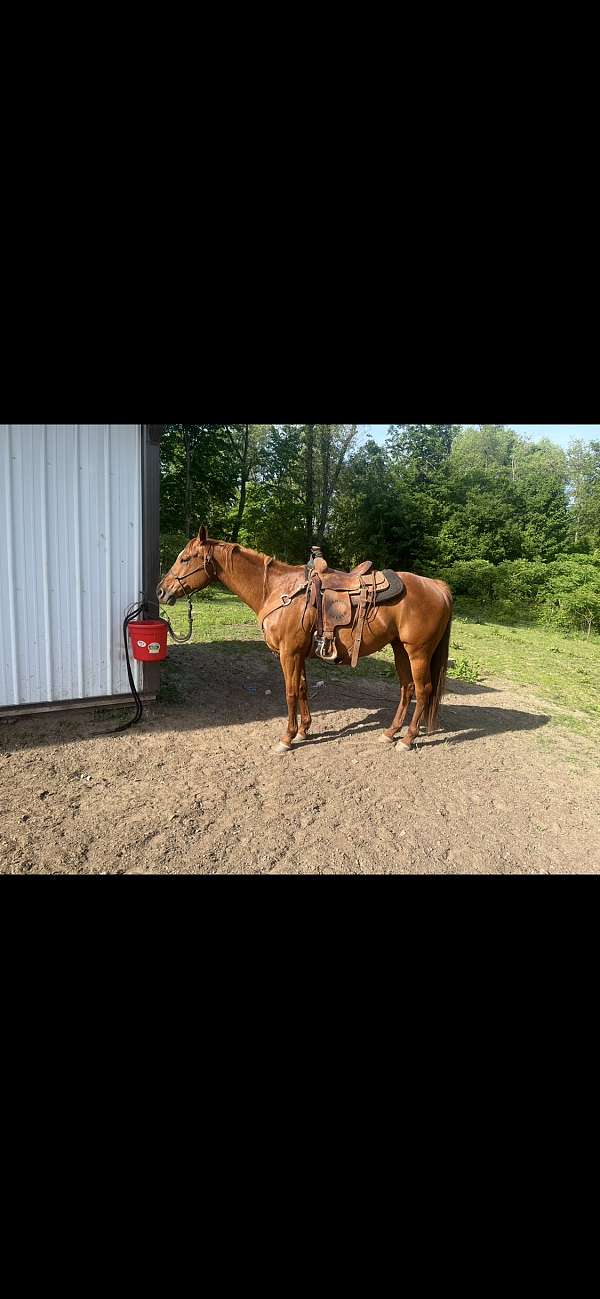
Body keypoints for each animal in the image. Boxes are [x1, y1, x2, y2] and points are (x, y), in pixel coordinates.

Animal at [157, 527, 453, 755]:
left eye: (185, 558)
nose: (161, 591)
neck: (277, 590)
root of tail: (437, 587)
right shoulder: (298, 654)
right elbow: (301, 688)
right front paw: (303, 731)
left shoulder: (288, 653)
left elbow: (289, 692)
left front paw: (286, 738)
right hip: (400, 650)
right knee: (407, 689)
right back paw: (390, 733)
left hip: (418, 653)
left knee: (423, 690)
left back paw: (407, 739)